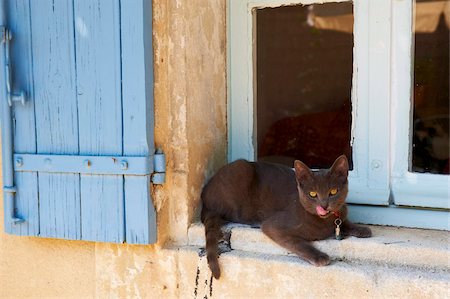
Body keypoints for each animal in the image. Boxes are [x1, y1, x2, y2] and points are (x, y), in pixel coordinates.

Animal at [202, 156, 370, 280]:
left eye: (333, 191)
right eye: (313, 194)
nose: (324, 205)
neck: (324, 221)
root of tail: (205, 195)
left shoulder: (339, 215)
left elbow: (344, 222)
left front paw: (362, 229)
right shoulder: (273, 226)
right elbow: (298, 243)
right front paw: (319, 256)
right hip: (241, 172)